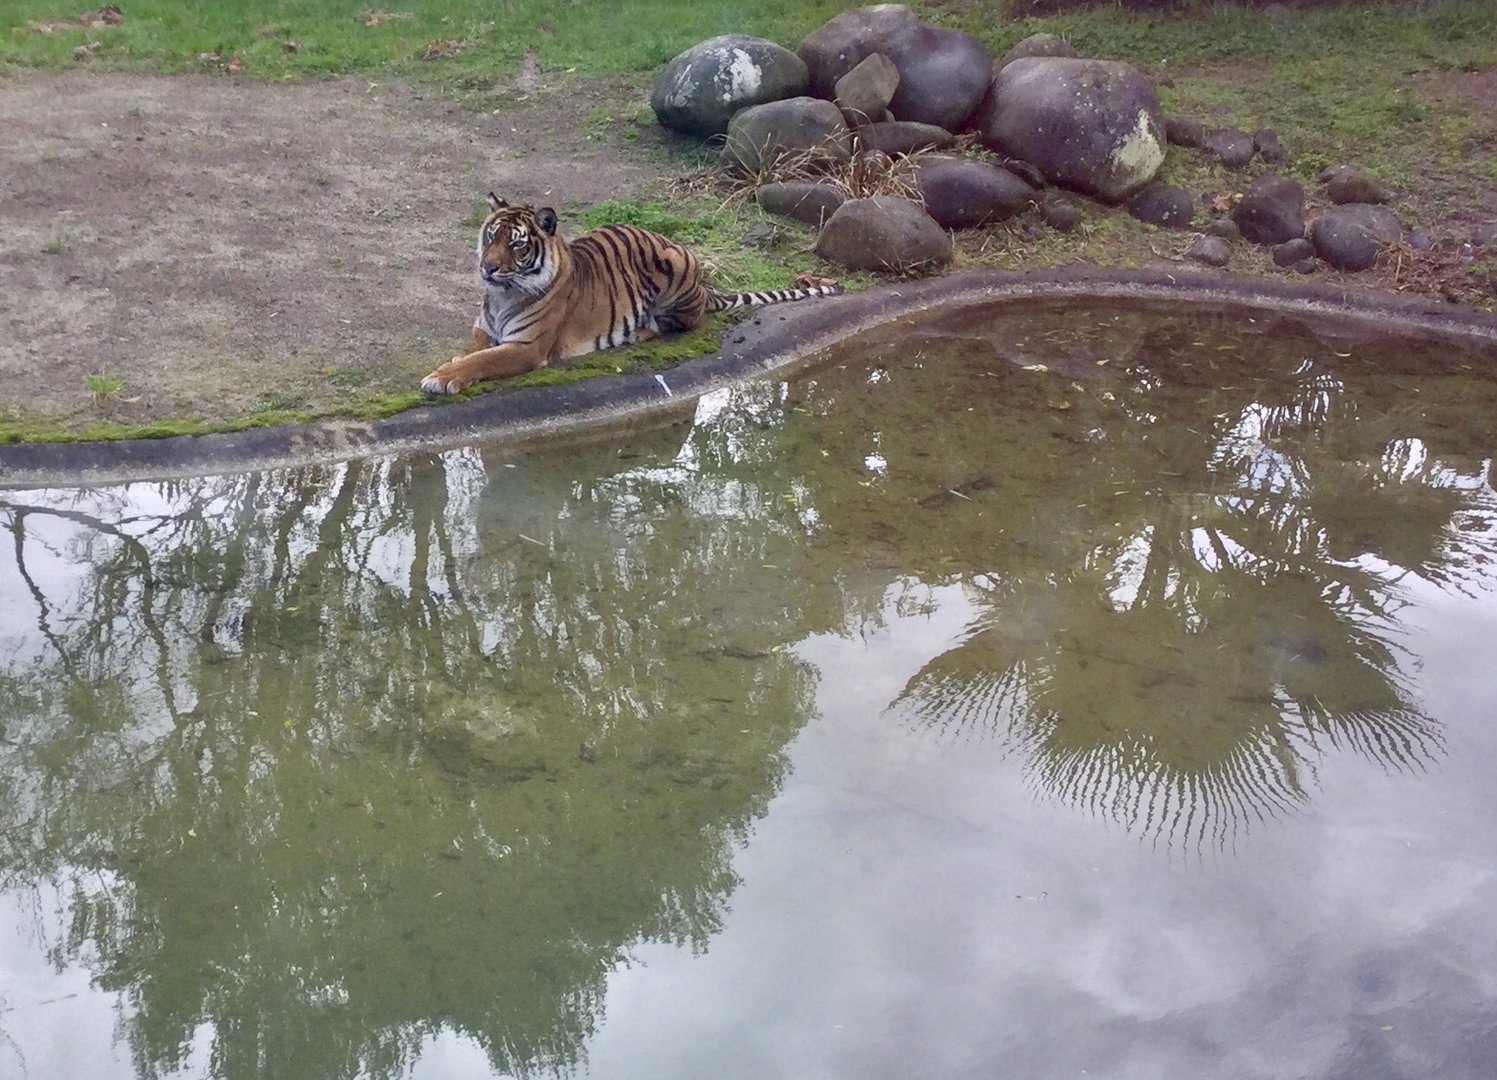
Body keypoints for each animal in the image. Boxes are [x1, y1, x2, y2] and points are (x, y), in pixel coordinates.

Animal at [420, 194, 843, 395]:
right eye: (492, 236)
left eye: (518, 245)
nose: (488, 267)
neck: (502, 294)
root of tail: (706, 289)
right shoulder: (484, 328)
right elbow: (476, 349)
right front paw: (454, 360)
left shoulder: (527, 347)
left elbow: (482, 361)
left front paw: (441, 377)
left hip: (675, 266)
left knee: (676, 324)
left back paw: (638, 331)